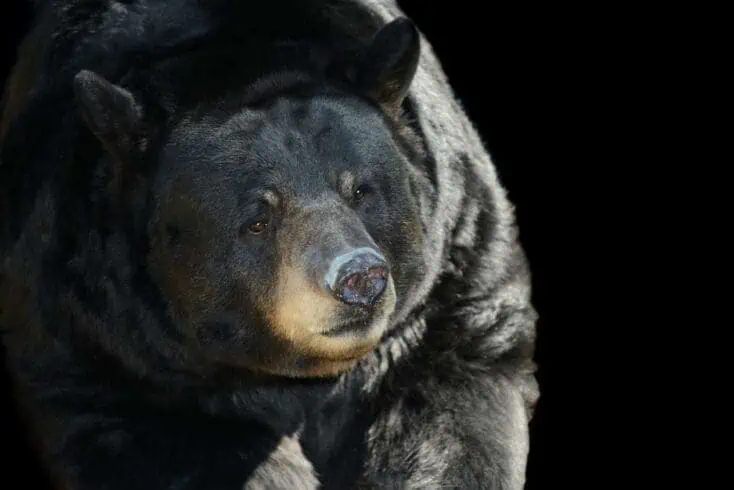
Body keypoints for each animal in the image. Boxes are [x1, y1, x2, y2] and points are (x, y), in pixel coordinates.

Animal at [0, 0, 540, 489]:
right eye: (258, 220)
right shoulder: (103, 345)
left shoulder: (450, 282)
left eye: (360, 190)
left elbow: (445, 422)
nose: (359, 278)